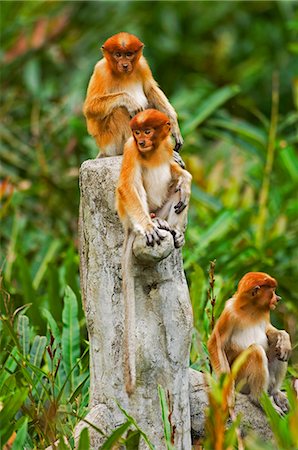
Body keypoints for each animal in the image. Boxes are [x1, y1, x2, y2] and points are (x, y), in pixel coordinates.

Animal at [115, 109, 192, 394]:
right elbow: (126, 186)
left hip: (165, 207)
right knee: (134, 184)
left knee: (176, 196)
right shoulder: (129, 149)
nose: (142, 141)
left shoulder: (167, 148)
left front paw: (186, 181)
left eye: (148, 131)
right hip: (133, 214)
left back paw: (172, 228)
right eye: (136, 132)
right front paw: (149, 229)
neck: (154, 150)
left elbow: (175, 171)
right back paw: (152, 224)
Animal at [207, 270, 292, 414]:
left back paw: (275, 392)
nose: (278, 298)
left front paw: (284, 339)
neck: (251, 309)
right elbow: (215, 345)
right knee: (256, 351)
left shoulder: (265, 313)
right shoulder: (229, 313)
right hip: (240, 382)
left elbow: (269, 331)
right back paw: (259, 398)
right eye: (272, 291)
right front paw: (228, 397)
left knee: (277, 350)